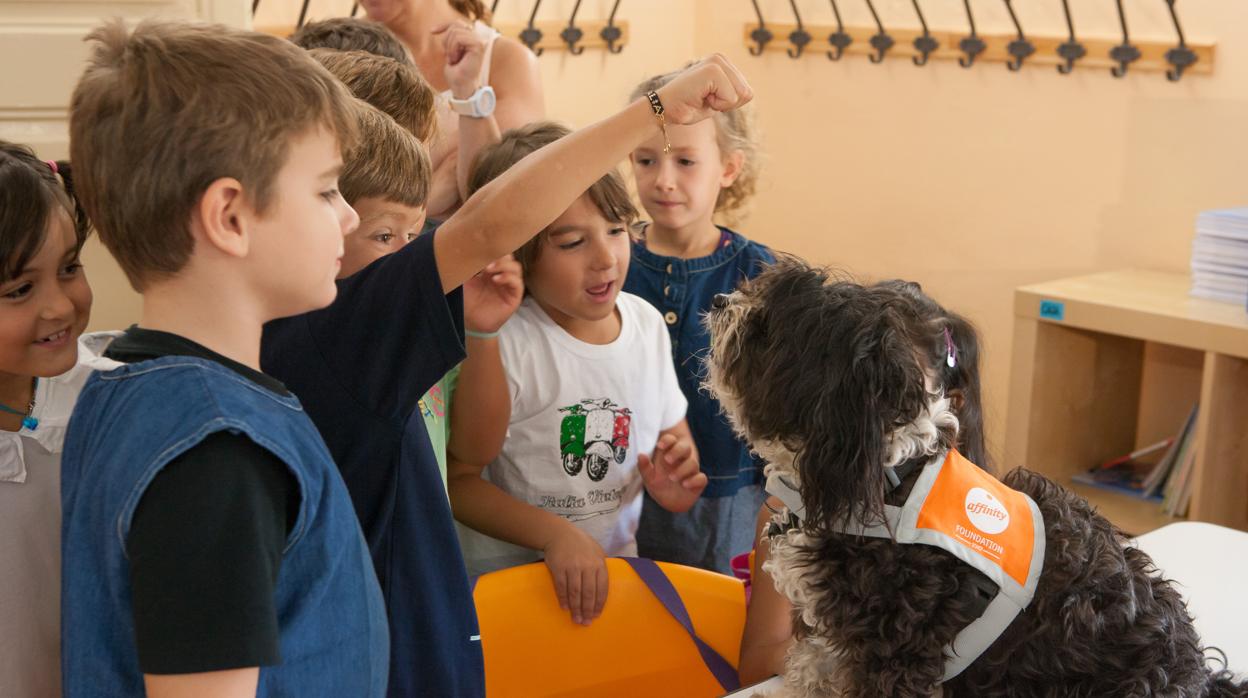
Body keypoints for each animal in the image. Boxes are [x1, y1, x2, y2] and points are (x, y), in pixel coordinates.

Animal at [708, 259, 1243, 694]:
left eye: (766, 328)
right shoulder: (836, 638)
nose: (718, 301)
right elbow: (814, 667)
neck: (893, 474)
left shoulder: (896, 648)